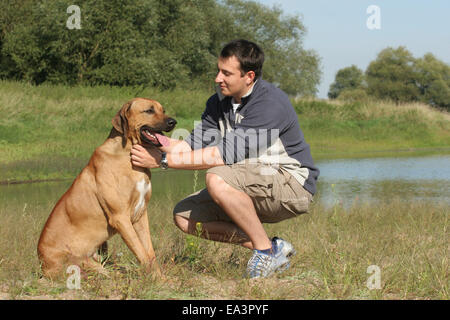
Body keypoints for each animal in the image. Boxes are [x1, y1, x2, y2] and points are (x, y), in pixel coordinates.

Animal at [37, 97, 176, 278]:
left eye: (163, 110)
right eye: (149, 110)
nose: (173, 122)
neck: (127, 153)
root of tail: (41, 263)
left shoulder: (141, 214)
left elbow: (149, 252)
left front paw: (160, 277)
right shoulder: (120, 217)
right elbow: (141, 252)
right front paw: (155, 279)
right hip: (82, 262)